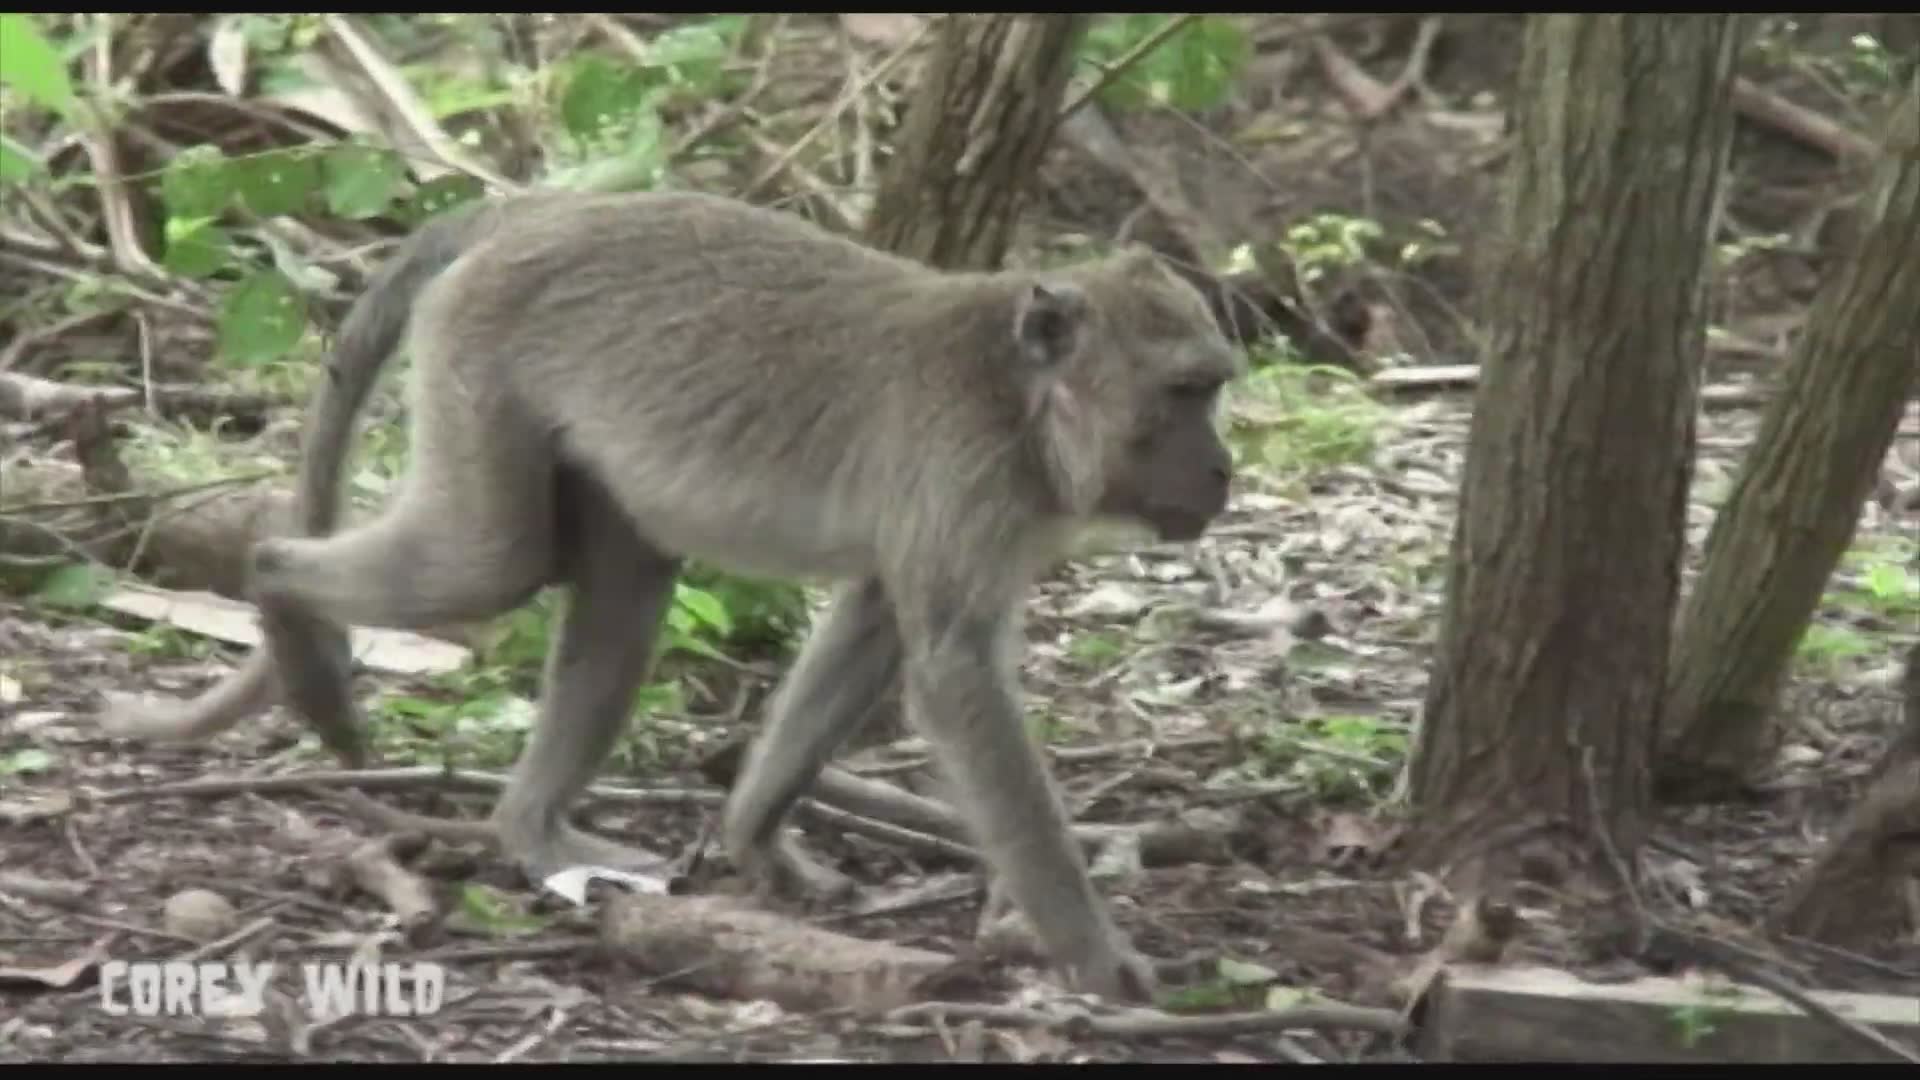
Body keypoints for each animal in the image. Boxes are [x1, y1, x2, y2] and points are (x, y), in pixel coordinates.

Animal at [98, 189, 1241, 1003]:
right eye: (1188, 392)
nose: (1224, 469)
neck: (1021, 400)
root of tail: (536, 207)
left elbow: (873, 624)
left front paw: (754, 833)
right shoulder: (965, 471)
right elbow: (955, 675)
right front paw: (1099, 960)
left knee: (621, 583)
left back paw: (530, 827)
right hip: (481, 359)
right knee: (486, 561)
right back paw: (284, 604)